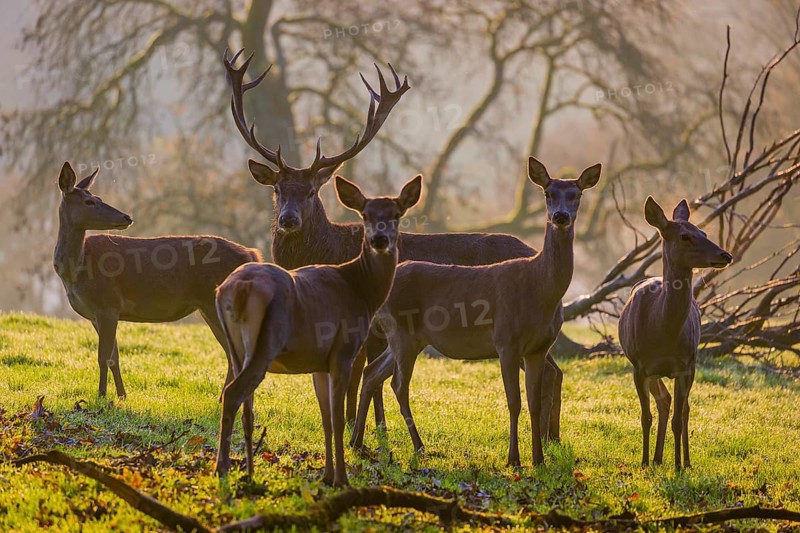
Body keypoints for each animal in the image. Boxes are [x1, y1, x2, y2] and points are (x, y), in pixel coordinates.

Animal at [54, 161, 262, 398]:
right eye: (89, 201)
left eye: (98, 197)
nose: (126, 217)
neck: (77, 270)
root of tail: (251, 254)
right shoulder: (97, 314)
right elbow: (114, 356)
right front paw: (121, 395)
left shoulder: (107, 304)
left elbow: (103, 357)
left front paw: (101, 396)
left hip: (215, 303)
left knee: (237, 353)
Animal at [214, 174, 422, 486]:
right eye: (365, 215)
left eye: (396, 214)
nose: (379, 239)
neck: (360, 290)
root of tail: (233, 289)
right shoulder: (343, 352)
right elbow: (337, 419)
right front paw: (342, 479)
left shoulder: (318, 363)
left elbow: (325, 418)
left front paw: (327, 475)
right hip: (265, 344)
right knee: (232, 394)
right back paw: (222, 468)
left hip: (236, 348)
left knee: (244, 404)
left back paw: (247, 472)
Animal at [224, 49, 563, 440]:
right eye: (277, 190)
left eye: (311, 191)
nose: (288, 219)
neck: (331, 252)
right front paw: (373, 428)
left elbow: (357, 379)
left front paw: (359, 427)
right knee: (556, 369)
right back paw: (552, 438)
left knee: (551, 370)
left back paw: (549, 438)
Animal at [350, 158, 601, 467]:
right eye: (547, 193)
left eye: (577, 194)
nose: (560, 216)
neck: (540, 287)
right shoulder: (506, 340)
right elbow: (514, 402)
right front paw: (513, 459)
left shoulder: (538, 348)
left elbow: (533, 401)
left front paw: (539, 459)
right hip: (401, 331)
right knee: (397, 383)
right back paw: (418, 446)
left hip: (411, 338)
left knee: (372, 372)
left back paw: (357, 442)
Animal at [618, 197, 732, 470]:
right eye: (684, 236)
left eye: (704, 232)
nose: (726, 255)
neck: (662, 332)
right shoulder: (638, 365)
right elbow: (645, 417)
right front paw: (644, 462)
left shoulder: (685, 365)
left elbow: (679, 420)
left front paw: (679, 465)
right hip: (652, 371)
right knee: (664, 401)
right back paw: (657, 459)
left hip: (690, 366)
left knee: (684, 408)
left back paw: (684, 461)